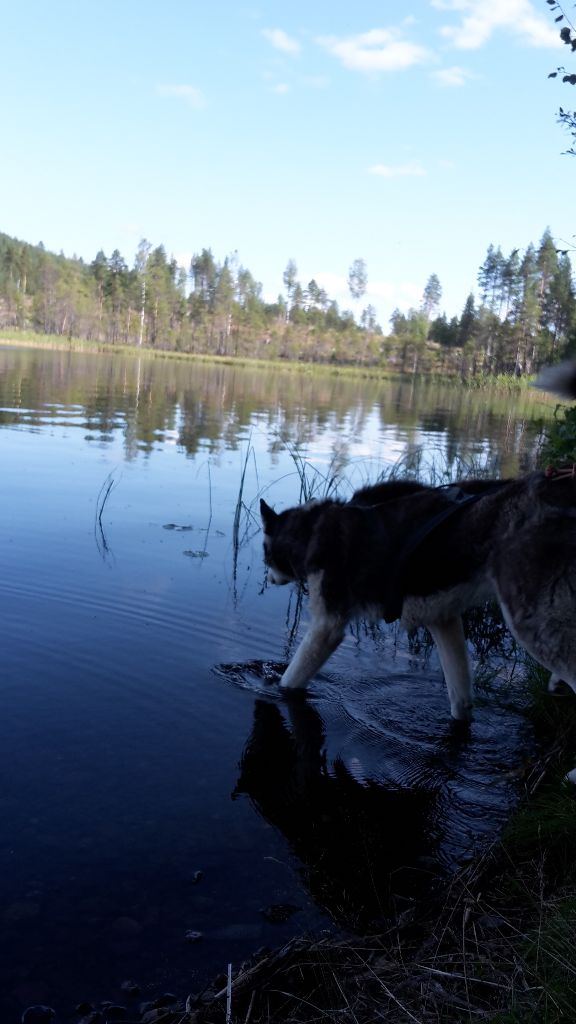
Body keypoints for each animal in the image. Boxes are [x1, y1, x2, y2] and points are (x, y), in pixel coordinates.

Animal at [261, 364, 576, 778]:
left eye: (265, 553)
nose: (267, 577)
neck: (314, 528)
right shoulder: (444, 621)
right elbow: (460, 697)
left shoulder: (328, 626)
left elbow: (290, 680)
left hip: (534, 621)